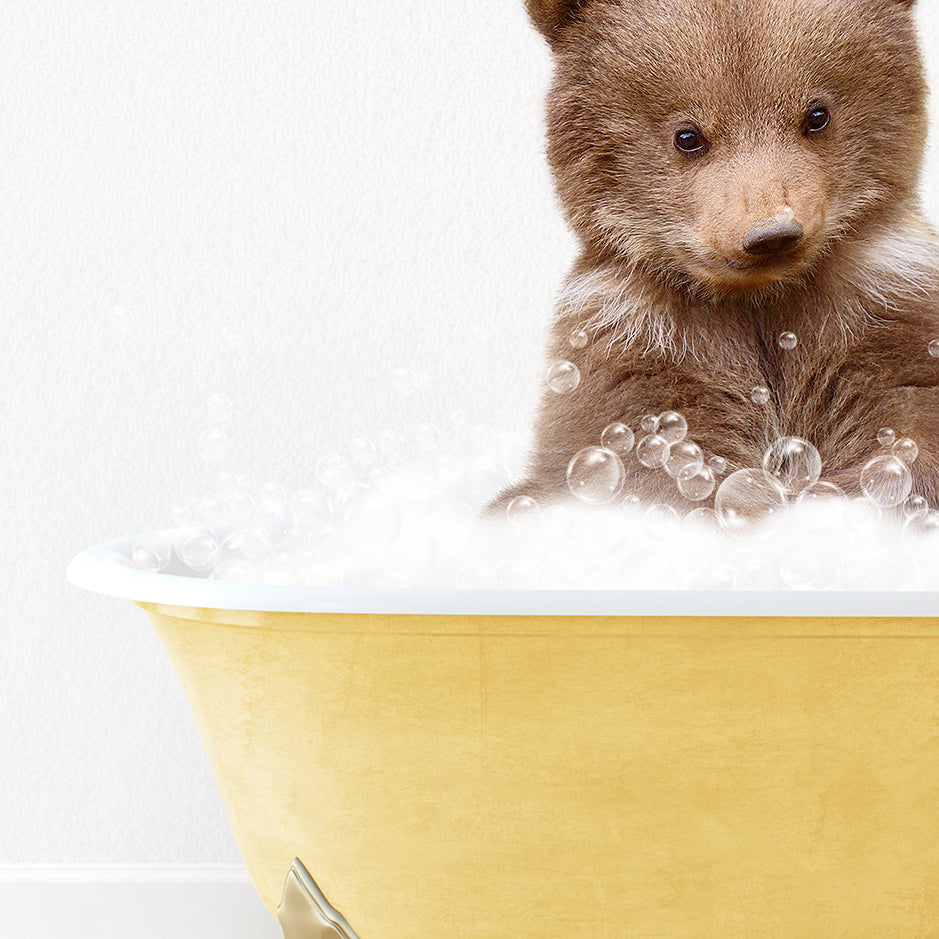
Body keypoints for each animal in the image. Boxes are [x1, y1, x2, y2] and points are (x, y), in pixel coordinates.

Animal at [492, 0, 939, 516]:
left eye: (817, 114)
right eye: (687, 136)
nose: (771, 234)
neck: (759, 299)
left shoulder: (882, 305)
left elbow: (905, 416)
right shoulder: (638, 344)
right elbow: (656, 457)